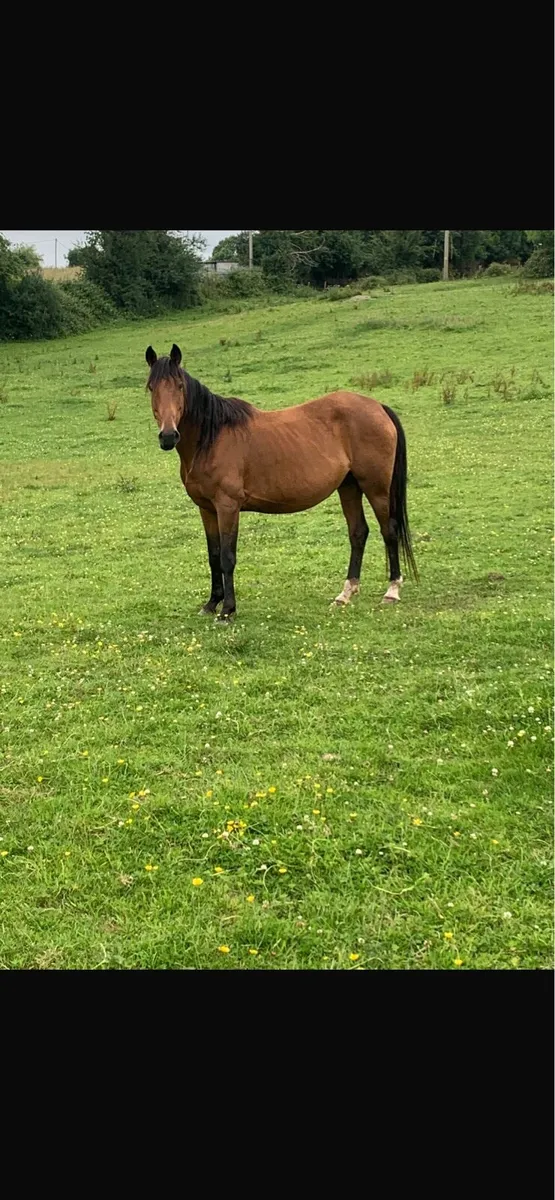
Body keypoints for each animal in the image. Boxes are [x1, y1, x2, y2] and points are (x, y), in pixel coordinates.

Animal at [145, 344, 417, 621]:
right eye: (151, 387)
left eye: (179, 386)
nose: (168, 436)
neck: (212, 438)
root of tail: (378, 406)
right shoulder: (207, 509)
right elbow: (213, 556)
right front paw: (212, 603)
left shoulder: (227, 506)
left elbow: (227, 557)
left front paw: (227, 610)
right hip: (349, 487)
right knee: (358, 533)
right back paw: (345, 594)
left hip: (376, 488)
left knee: (389, 530)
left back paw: (392, 591)